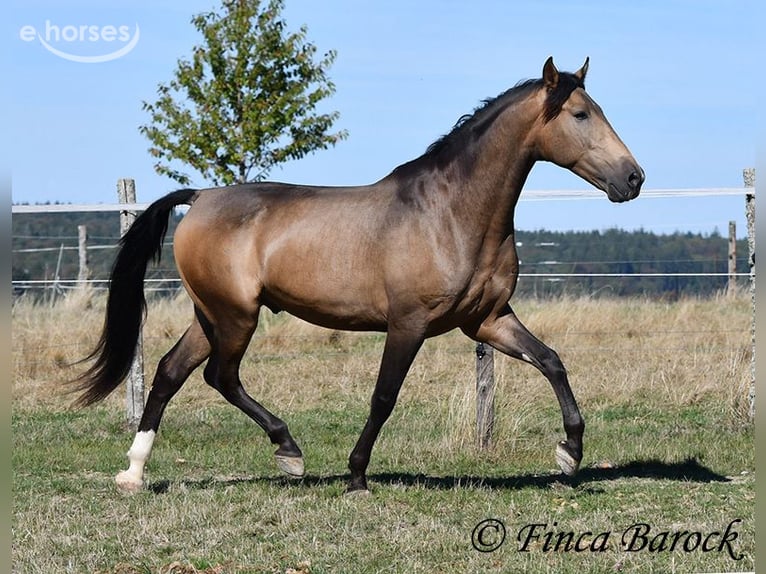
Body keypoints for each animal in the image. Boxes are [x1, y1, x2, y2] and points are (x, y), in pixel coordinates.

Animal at [74, 57, 644, 493]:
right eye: (580, 114)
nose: (633, 178)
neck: (451, 213)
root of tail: (200, 197)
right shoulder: (409, 323)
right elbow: (384, 397)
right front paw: (356, 476)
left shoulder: (488, 320)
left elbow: (552, 361)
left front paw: (569, 452)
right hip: (235, 316)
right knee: (221, 376)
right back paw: (289, 452)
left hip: (211, 314)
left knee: (171, 372)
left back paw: (134, 474)